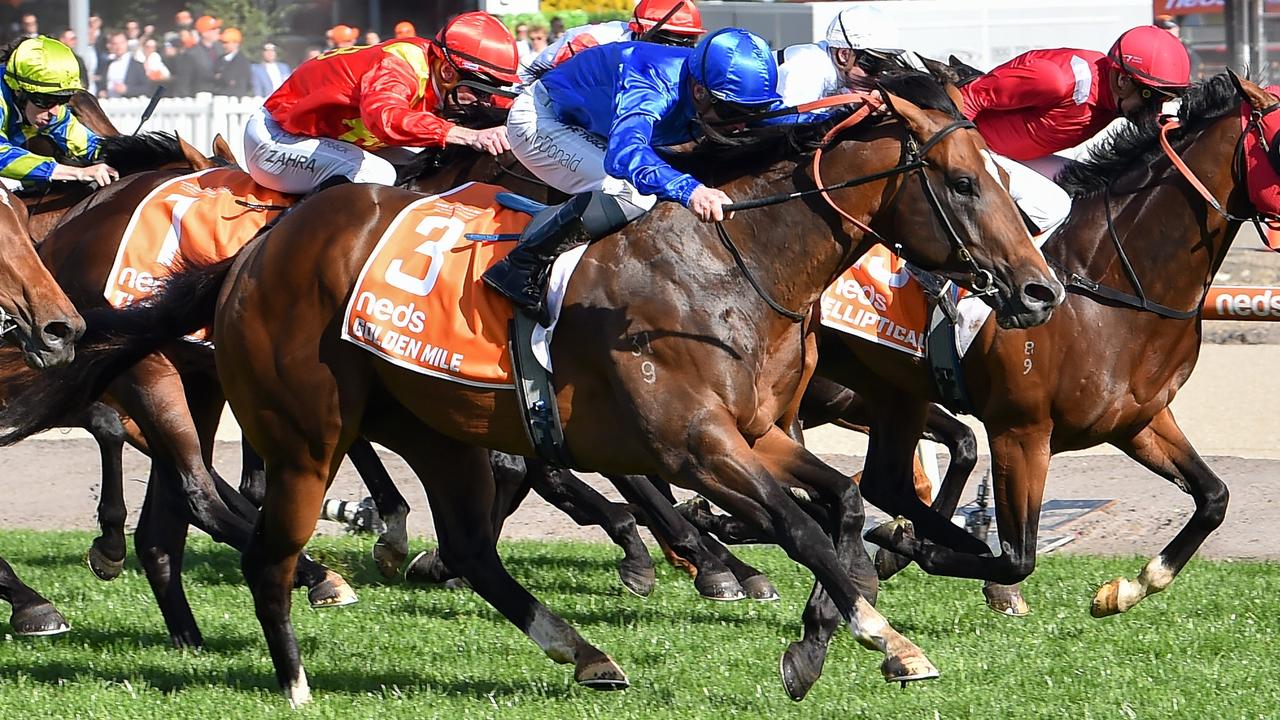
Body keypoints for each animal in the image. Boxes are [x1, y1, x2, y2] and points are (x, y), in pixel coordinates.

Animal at [0, 74, 1064, 702]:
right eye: (963, 184)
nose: (1040, 289)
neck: (732, 262)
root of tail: (256, 250)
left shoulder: (756, 431)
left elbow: (839, 505)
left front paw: (822, 637)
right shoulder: (693, 444)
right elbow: (801, 527)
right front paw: (879, 636)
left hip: (431, 426)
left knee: (471, 548)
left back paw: (584, 652)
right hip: (304, 429)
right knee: (264, 548)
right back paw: (296, 669)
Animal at [752, 71, 1274, 696]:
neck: (1110, 289)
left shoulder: (1139, 420)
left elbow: (1214, 498)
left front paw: (1120, 592)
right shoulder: (1021, 432)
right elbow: (1015, 555)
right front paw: (915, 548)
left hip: (887, 392)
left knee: (879, 481)